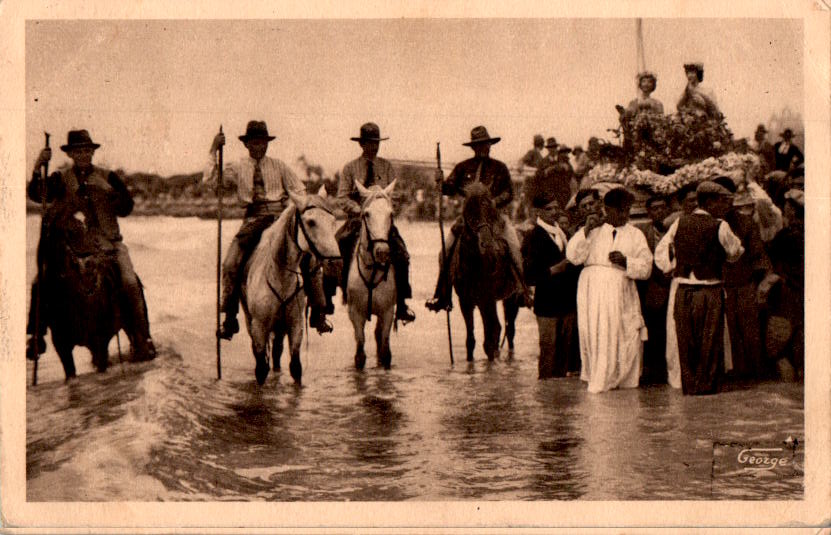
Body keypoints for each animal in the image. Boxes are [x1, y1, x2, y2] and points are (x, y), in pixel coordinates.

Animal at [242, 188, 340, 386]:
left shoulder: (296, 325)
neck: (280, 277)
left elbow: (296, 367)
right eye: (311, 222)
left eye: (333, 221)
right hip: (251, 323)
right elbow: (261, 369)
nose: (336, 263)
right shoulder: (259, 327)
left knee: (277, 353)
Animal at [348, 180, 400, 368]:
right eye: (367, 214)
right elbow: (360, 353)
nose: (382, 252)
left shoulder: (387, 312)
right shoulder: (355, 313)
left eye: (391, 214)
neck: (372, 271)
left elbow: (385, 351)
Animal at [456, 182, 520, 362]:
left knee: (507, 330)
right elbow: (470, 341)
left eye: (489, 209)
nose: (486, 243)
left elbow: (489, 338)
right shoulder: (466, 301)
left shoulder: (486, 300)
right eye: (469, 209)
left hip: (511, 298)